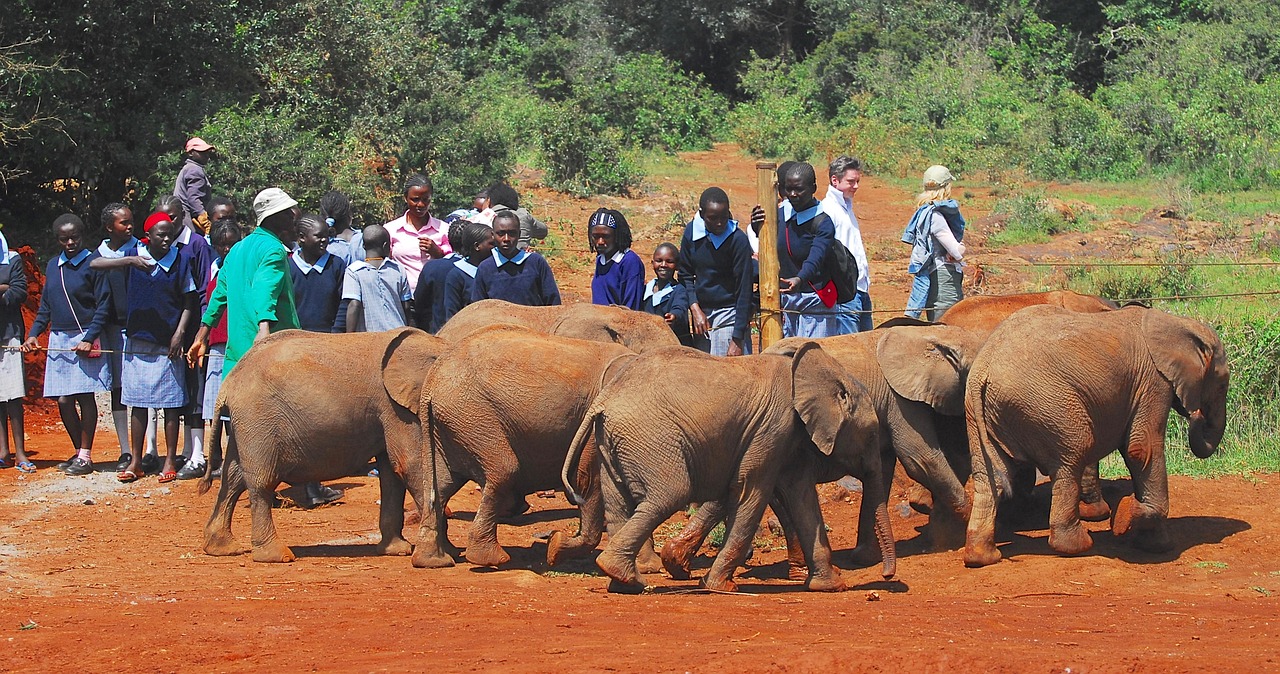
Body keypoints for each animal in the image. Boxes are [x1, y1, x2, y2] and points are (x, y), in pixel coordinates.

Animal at [565, 345, 896, 593]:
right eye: (871, 434)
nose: (887, 575)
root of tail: (605, 399)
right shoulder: (772, 428)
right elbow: (751, 493)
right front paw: (719, 587)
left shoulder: (790, 439)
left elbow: (802, 499)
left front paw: (830, 586)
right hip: (650, 439)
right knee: (669, 496)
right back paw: (624, 575)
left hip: (611, 442)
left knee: (619, 505)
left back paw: (624, 582)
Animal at [967, 304, 1228, 565]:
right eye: (1223, 384)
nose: (1197, 415)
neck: (1176, 322)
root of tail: (984, 369)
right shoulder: (1154, 382)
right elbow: (1142, 449)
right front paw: (1133, 525)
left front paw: (1148, 539)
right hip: (1046, 404)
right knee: (1073, 455)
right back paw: (1076, 546)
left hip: (978, 411)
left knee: (989, 476)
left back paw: (982, 557)